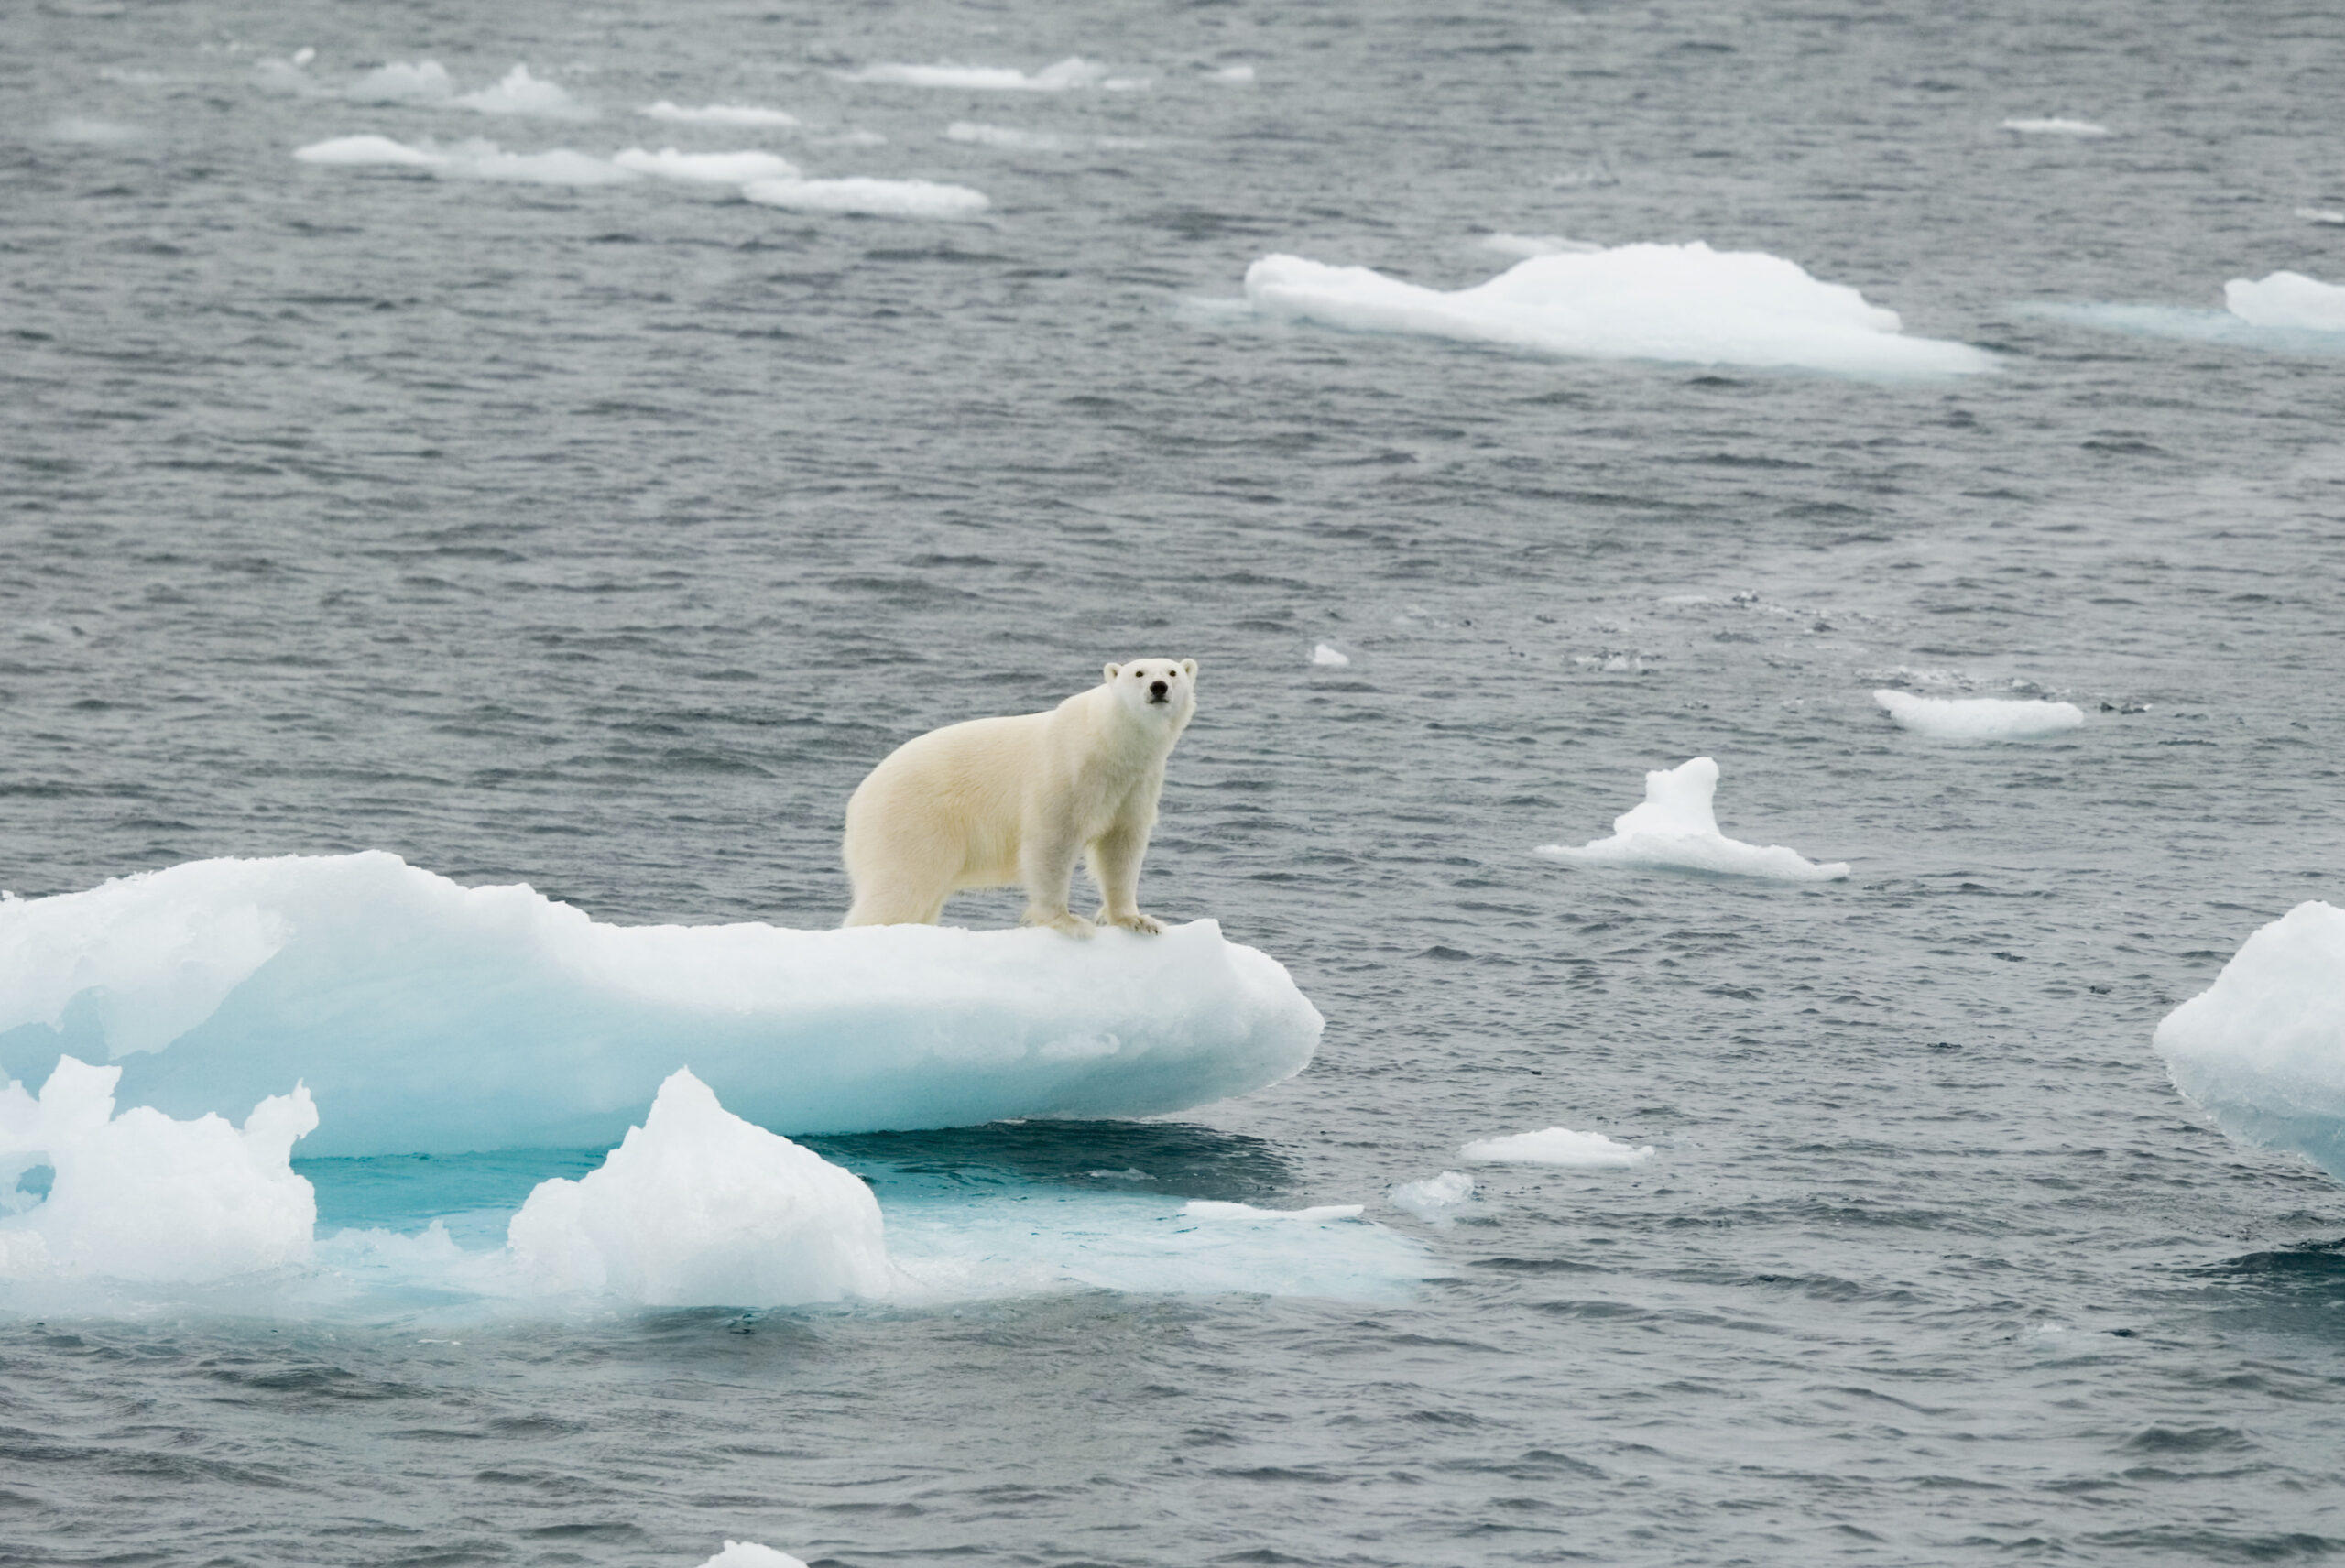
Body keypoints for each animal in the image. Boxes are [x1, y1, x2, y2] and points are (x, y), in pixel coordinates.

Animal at [841, 658, 1199, 936]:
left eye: (1172, 672)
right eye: (1138, 672)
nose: (1158, 687)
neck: (1108, 742)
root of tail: (857, 801)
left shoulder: (1135, 784)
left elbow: (1121, 846)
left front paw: (1137, 920)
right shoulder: (1065, 771)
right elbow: (1051, 841)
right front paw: (1068, 921)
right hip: (913, 820)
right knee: (901, 887)